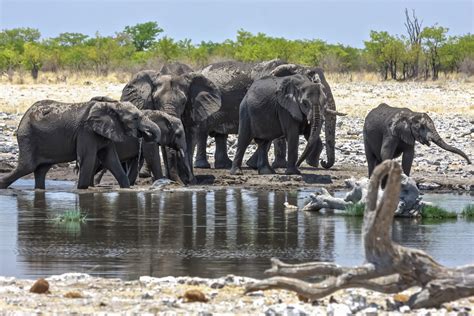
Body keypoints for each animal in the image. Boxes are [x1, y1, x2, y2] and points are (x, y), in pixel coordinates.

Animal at [0, 97, 161, 189]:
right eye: (135, 118)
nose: (145, 135)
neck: (111, 106)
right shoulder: (86, 131)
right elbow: (88, 159)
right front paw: (81, 190)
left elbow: (111, 159)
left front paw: (126, 189)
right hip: (27, 135)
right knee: (27, 166)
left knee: (41, 170)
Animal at [196, 60, 340, 172]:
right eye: (317, 84)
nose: (323, 162)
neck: (295, 65)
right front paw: (256, 165)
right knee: (202, 131)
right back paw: (203, 166)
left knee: (220, 135)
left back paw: (224, 165)